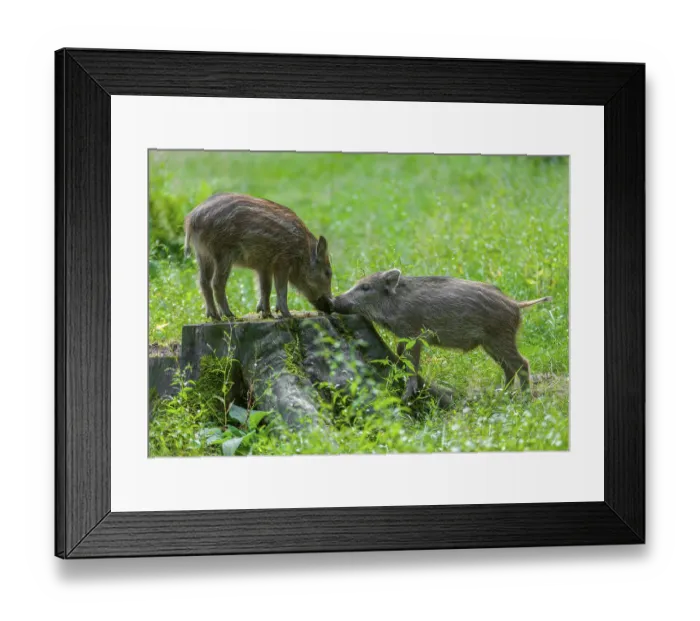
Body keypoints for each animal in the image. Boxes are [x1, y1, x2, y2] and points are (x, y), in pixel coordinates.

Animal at [184, 193, 333, 320]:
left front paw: (267, 314)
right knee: (217, 283)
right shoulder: (282, 262)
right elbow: (281, 288)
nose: (331, 307)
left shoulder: (264, 266)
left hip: (203, 255)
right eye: (328, 273)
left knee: (203, 282)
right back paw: (230, 315)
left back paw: (214, 316)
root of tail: (192, 218)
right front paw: (287, 315)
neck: (303, 252)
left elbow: (265, 288)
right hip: (222, 255)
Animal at [331, 269, 551, 398]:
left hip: (500, 339)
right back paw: (500, 394)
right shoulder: (403, 336)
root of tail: (516, 304)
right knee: (509, 369)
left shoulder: (414, 334)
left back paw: (524, 398)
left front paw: (408, 394)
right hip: (490, 344)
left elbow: (413, 363)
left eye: (365, 287)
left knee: (522, 364)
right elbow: (400, 353)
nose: (333, 300)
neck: (395, 304)